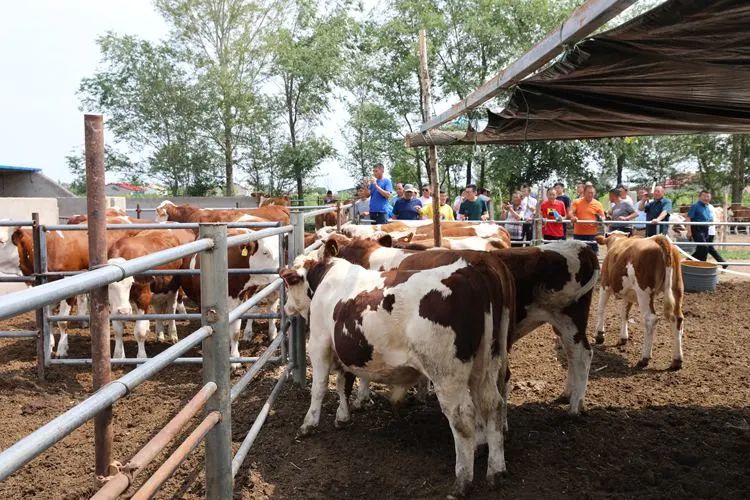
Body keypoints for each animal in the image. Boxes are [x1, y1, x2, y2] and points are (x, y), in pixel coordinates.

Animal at [282, 243, 516, 496]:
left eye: (289, 283)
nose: (285, 307)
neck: (326, 278)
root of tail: (469, 272)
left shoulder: (319, 343)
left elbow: (320, 387)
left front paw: (309, 424)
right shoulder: (344, 348)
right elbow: (344, 384)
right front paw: (343, 416)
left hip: (446, 374)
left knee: (463, 418)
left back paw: (462, 481)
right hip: (486, 365)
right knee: (493, 405)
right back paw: (496, 470)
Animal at [596, 232, 692, 370]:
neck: (617, 240)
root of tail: (658, 239)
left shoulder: (605, 284)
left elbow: (601, 308)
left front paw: (600, 335)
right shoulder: (628, 294)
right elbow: (624, 313)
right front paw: (623, 338)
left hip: (644, 293)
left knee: (651, 319)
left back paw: (644, 358)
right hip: (677, 289)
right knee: (677, 319)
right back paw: (677, 360)